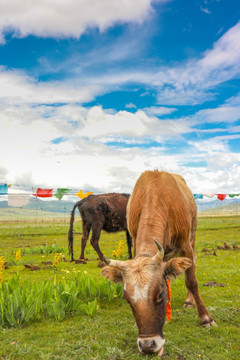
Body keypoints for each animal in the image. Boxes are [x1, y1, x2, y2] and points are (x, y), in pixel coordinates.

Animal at [101, 171, 216, 354]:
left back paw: (190, 301)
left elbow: (191, 281)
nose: (147, 345)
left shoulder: (186, 247)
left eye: (160, 294)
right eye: (127, 298)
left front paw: (205, 319)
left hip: (193, 236)